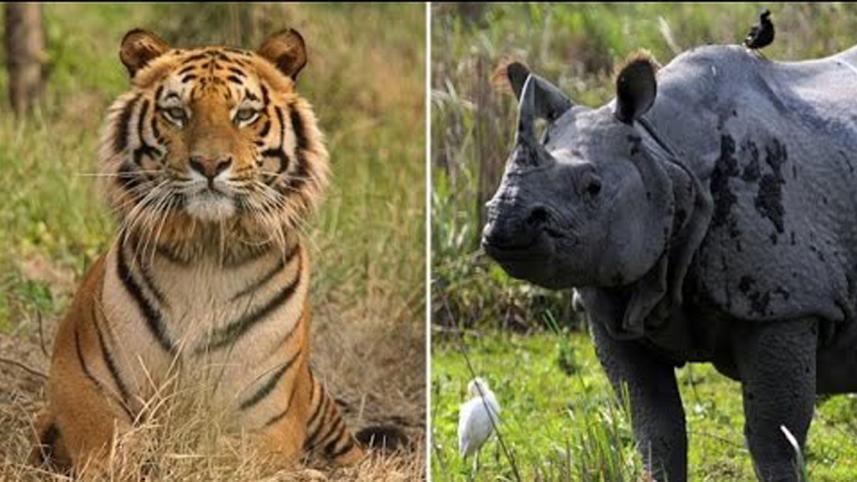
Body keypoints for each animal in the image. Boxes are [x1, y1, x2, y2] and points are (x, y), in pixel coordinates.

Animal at [29, 28, 381, 473]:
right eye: (176, 112)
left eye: (244, 114)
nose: (210, 164)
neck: (206, 254)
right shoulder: (78, 383)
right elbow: (109, 448)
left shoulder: (269, 421)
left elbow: (220, 457)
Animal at [482, 44, 857, 482]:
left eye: (593, 188)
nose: (506, 220)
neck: (663, 157)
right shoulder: (614, 305)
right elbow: (656, 428)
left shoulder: (785, 302)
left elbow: (774, 438)